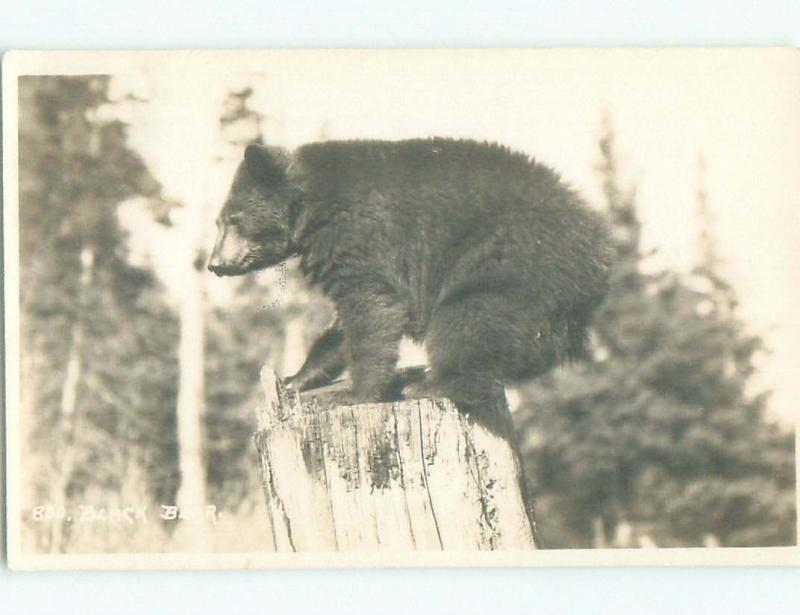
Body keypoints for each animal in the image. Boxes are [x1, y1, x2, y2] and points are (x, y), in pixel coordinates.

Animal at [206, 140, 612, 428]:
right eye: (220, 222)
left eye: (233, 220)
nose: (214, 264)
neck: (311, 205)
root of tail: (599, 257)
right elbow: (346, 322)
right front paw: (295, 379)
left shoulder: (360, 236)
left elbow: (371, 309)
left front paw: (353, 393)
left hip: (512, 261)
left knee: (469, 320)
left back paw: (431, 382)